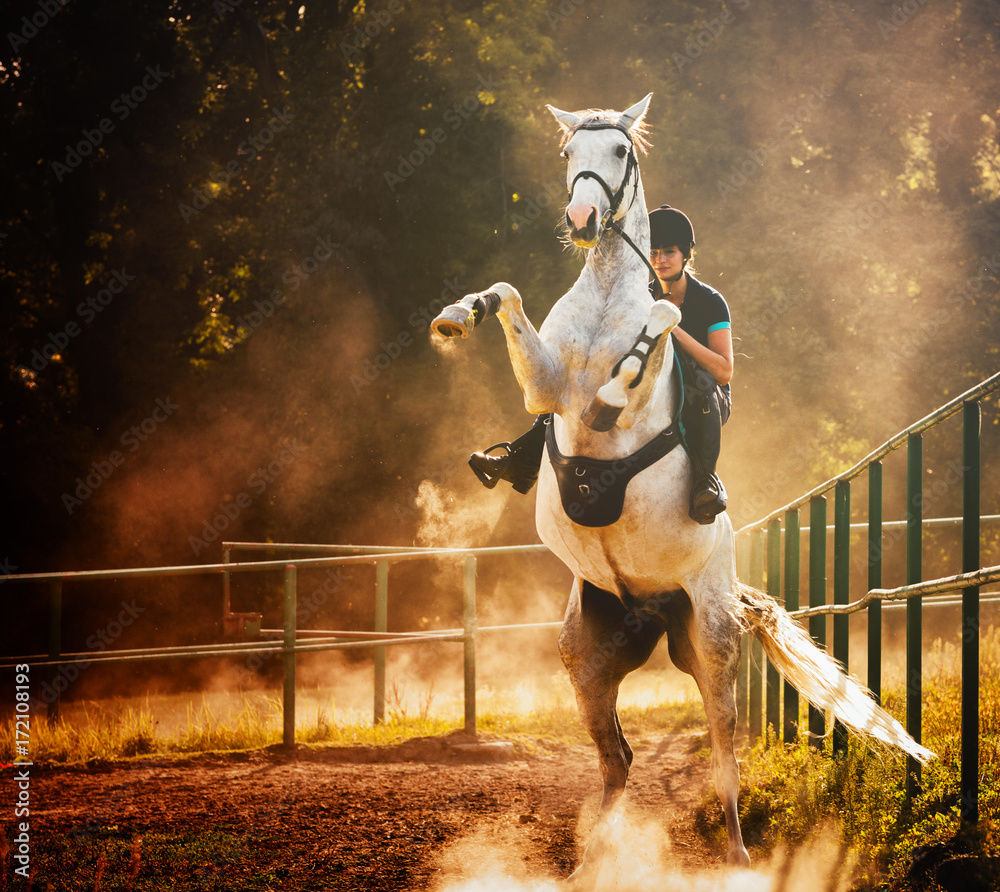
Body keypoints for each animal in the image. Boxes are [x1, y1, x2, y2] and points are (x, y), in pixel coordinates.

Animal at [430, 92, 928, 880]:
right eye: (569, 153)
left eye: (619, 153)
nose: (582, 221)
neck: (608, 296)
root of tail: (654, 608)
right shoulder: (546, 389)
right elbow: (506, 295)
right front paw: (456, 316)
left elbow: (660, 324)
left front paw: (615, 389)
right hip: (587, 655)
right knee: (618, 762)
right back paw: (592, 861)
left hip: (713, 640)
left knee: (723, 748)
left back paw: (738, 849)